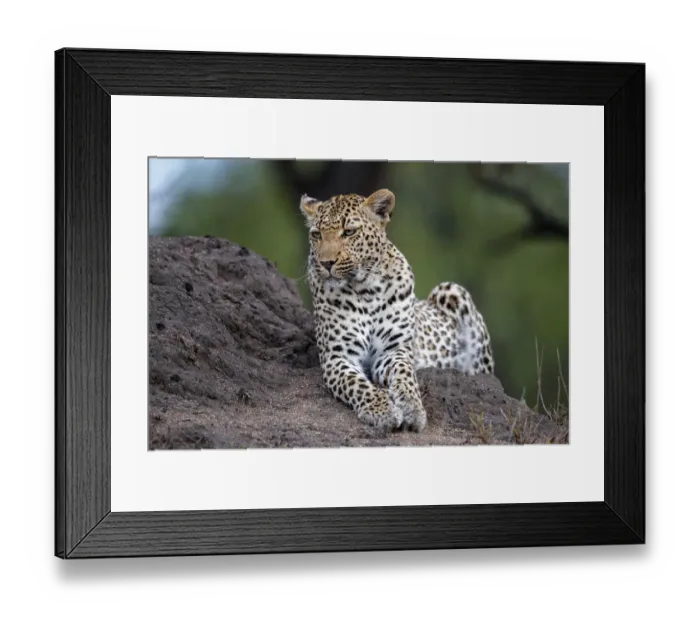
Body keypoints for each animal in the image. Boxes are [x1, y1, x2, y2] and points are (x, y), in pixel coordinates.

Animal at [301, 189, 494, 433]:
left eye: (349, 232)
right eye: (317, 235)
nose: (326, 263)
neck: (366, 290)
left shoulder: (394, 349)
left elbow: (404, 374)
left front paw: (412, 408)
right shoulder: (337, 356)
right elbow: (356, 383)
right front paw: (381, 409)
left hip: (451, 291)